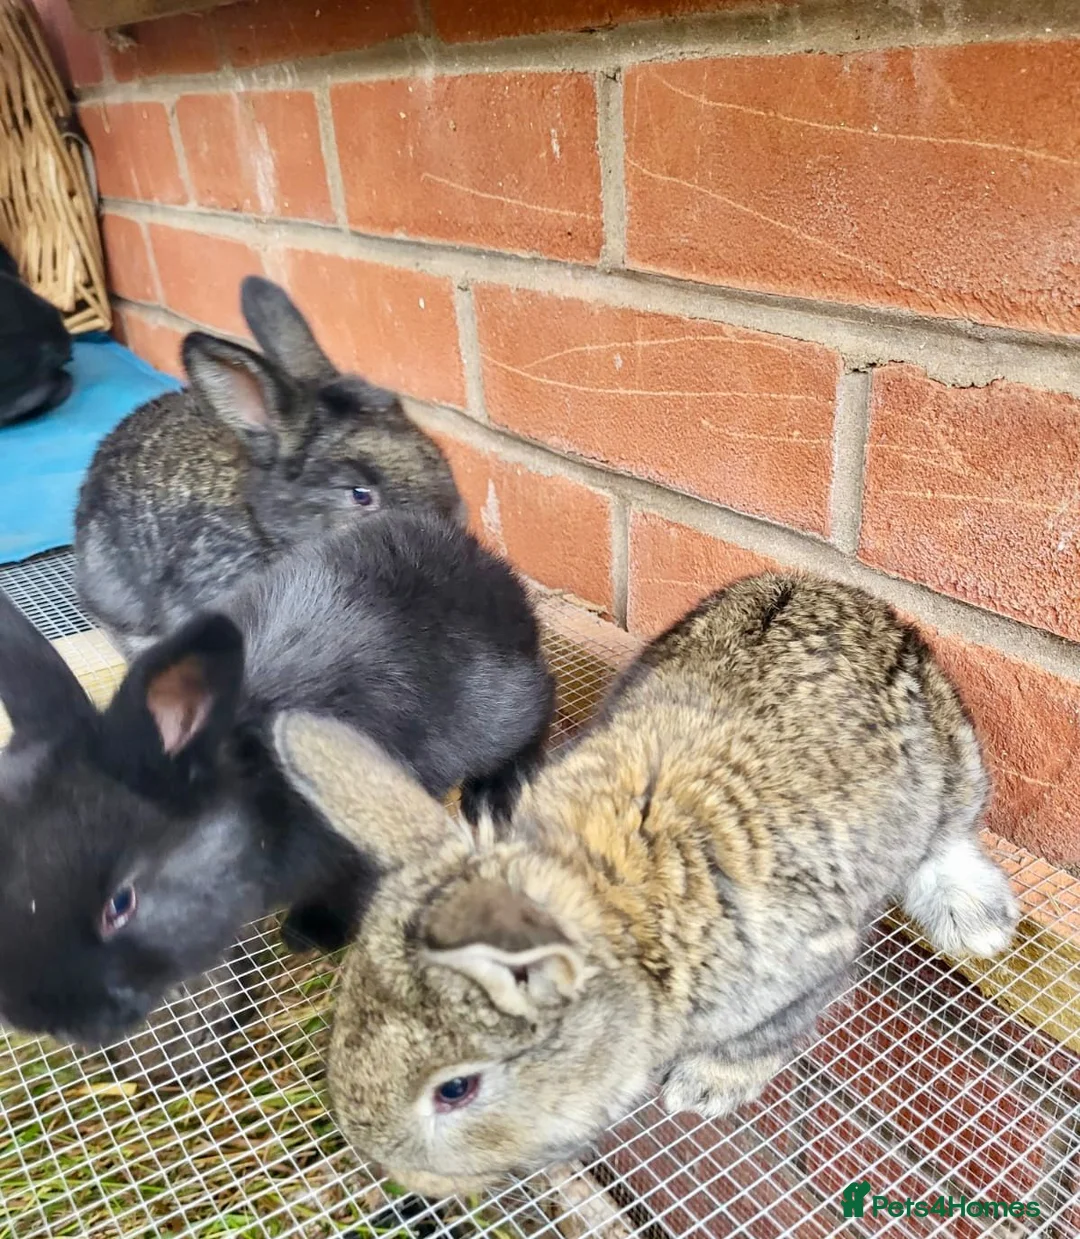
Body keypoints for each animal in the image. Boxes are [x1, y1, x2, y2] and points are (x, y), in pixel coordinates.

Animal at [0, 509, 553, 1048]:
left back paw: (492, 795)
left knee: (540, 703)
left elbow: (351, 890)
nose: (47, 1024)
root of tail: (489, 571)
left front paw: (309, 934)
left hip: (502, 710)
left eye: (121, 903)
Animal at [270, 572, 1019, 1198]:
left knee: (950, 836)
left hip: (954, 758)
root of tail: (843, 591)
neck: (622, 904)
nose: (397, 1173)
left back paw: (978, 921)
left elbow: (763, 1038)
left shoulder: (808, 964)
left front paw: (702, 1090)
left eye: (455, 1090)